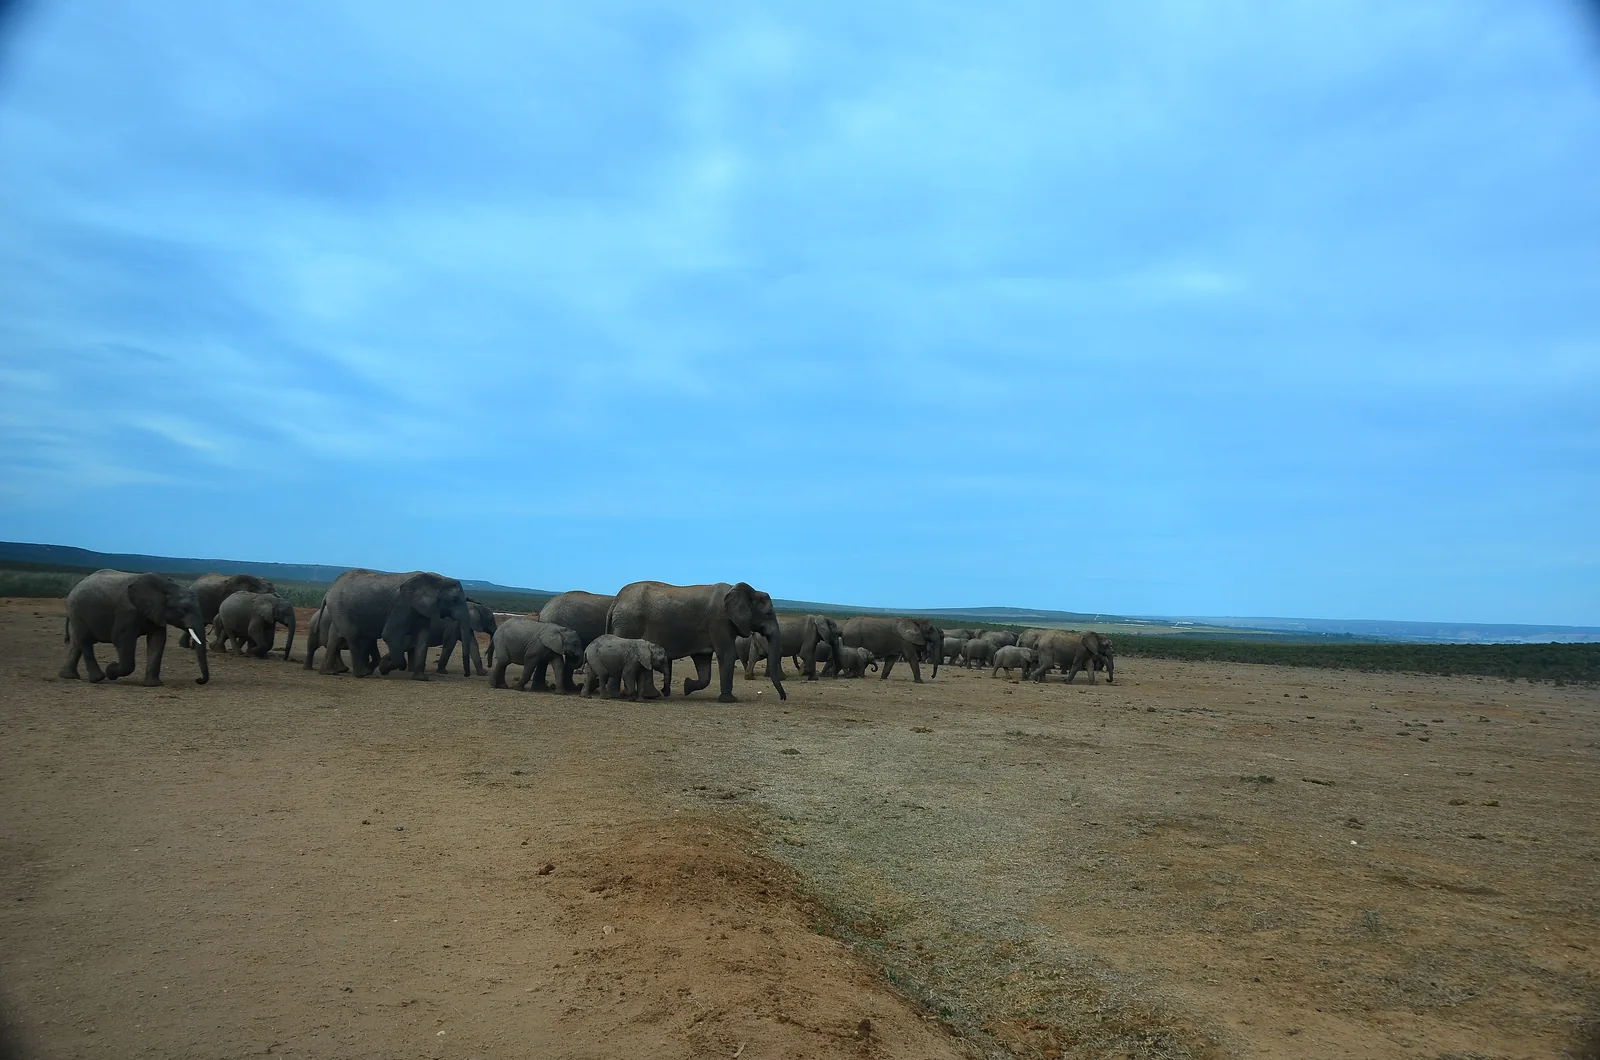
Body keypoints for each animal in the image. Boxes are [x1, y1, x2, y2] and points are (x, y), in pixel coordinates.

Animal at [59, 570, 209, 686]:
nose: (198, 680)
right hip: (77, 610)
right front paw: (111, 670)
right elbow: (121, 639)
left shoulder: (156, 612)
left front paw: (153, 685)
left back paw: (68, 676)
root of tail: (76, 587)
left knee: (78, 643)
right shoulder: (126, 611)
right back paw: (98, 678)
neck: (165, 586)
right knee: (85, 641)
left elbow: (157, 641)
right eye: (184, 609)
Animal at [318, 569, 474, 680]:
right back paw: (362, 674)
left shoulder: (422, 608)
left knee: (335, 637)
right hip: (340, 608)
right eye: (454, 600)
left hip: (337, 610)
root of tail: (329, 590)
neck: (437, 578)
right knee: (351, 634)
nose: (466, 675)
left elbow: (423, 636)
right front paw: (384, 667)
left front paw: (421, 678)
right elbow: (390, 634)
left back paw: (329, 672)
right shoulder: (401, 603)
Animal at [604, 581, 786, 702]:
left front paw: (687, 687)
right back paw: (622, 695)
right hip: (629, 623)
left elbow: (703, 662)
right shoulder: (720, 621)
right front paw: (730, 700)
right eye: (768, 614)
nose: (783, 698)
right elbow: (726, 654)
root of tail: (616, 601)